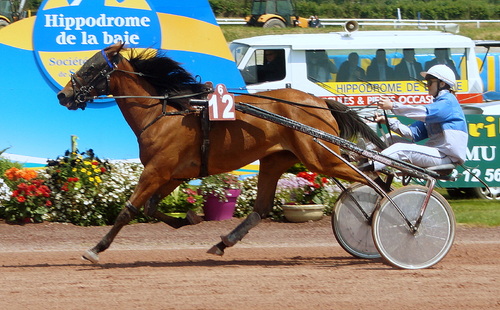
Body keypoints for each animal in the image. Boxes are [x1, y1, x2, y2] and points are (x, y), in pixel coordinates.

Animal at [56, 43, 384, 262]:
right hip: (276, 159)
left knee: (374, 181)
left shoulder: (156, 170)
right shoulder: (174, 173)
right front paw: (189, 218)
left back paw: (382, 215)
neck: (164, 114)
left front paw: (95, 249)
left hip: (320, 157)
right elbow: (150, 208)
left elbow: (129, 209)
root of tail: (319, 102)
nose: (63, 95)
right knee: (261, 208)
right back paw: (223, 243)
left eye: (90, 68)